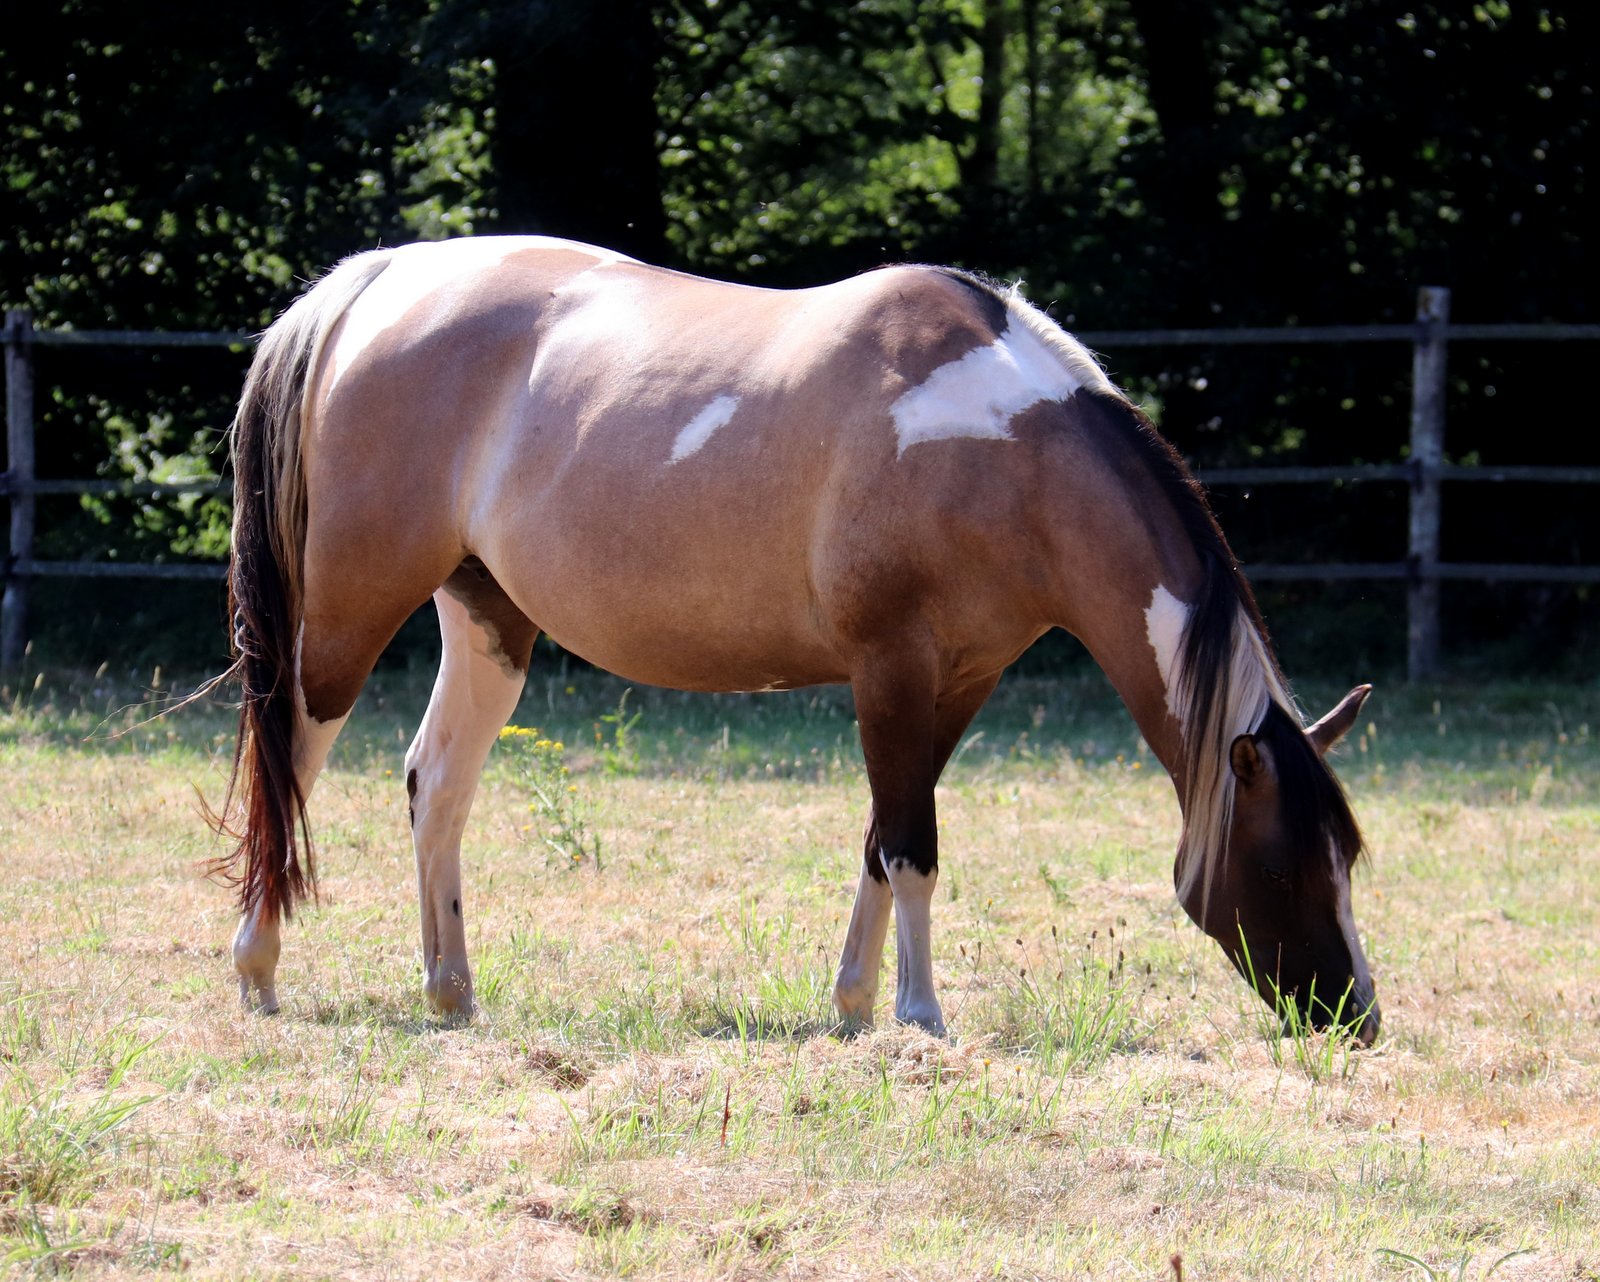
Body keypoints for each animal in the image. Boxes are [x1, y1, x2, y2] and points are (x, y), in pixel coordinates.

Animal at [212, 235, 1379, 1043]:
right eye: (1284, 856)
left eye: (1350, 853)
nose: (1354, 1017)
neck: (1002, 450)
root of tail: (375, 286)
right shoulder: (890, 668)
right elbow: (911, 846)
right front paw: (919, 1015)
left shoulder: (959, 680)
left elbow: (881, 837)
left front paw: (856, 1004)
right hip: (348, 616)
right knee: (292, 755)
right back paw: (258, 969)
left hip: (490, 615)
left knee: (437, 783)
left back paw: (450, 992)